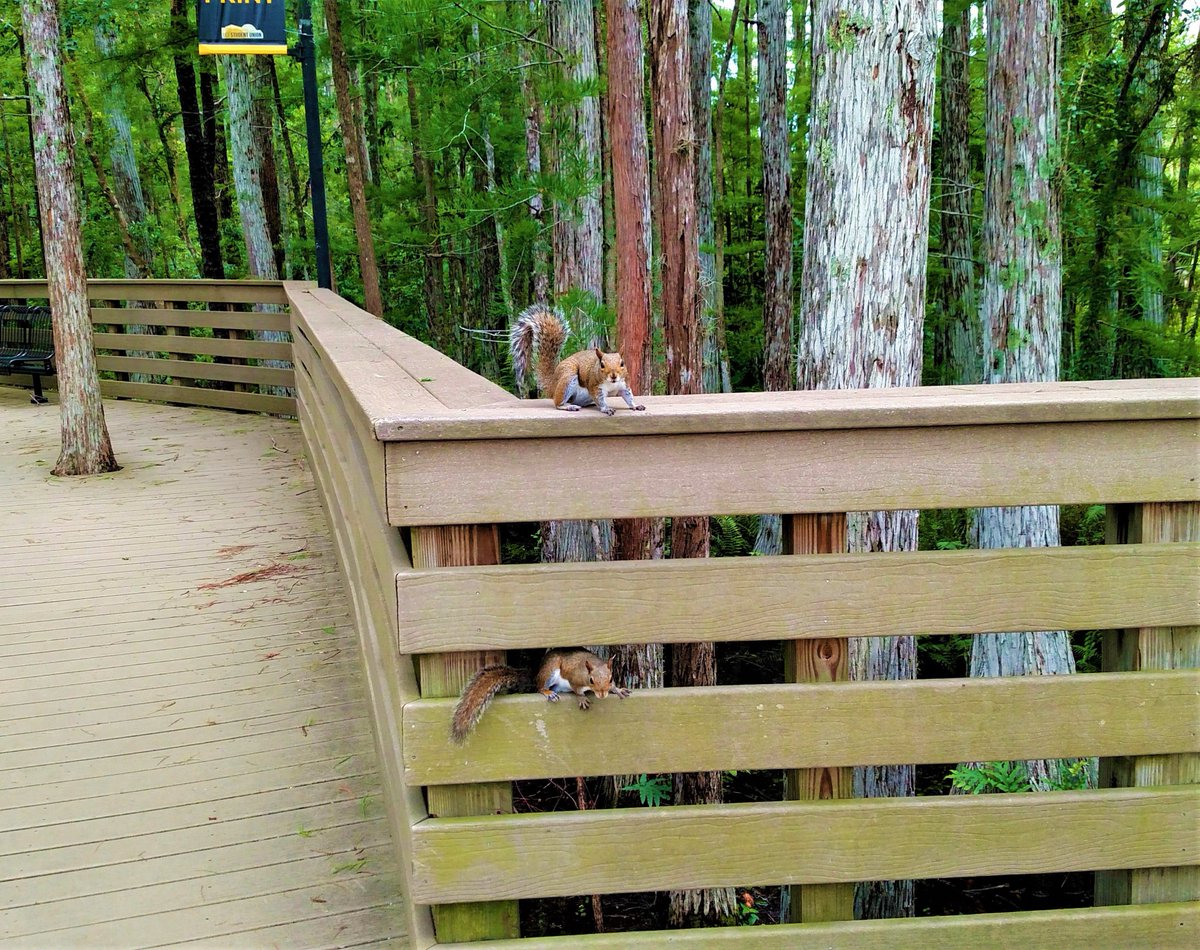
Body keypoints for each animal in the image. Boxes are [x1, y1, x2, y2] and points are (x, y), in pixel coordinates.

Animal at [451, 648, 630, 743]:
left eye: (611, 678)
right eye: (591, 680)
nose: (602, 695)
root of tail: (536, 674)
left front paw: (618, 689)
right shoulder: (574, 678)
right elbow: (577, 689)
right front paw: (582, 698)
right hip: (549, 671)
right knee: (539, 686)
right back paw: (548, 692)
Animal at [509, 304, 646, 415]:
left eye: (622, 363)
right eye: (602, 365)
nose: (613, 376)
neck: (611, 383)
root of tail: (552, 384)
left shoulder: (624, 384)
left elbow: (628, 396)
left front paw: (635, 406)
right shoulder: (594, 385)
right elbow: (600, 399)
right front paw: (606, 408)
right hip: (568, 378)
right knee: (557, 402)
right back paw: (567, 406)